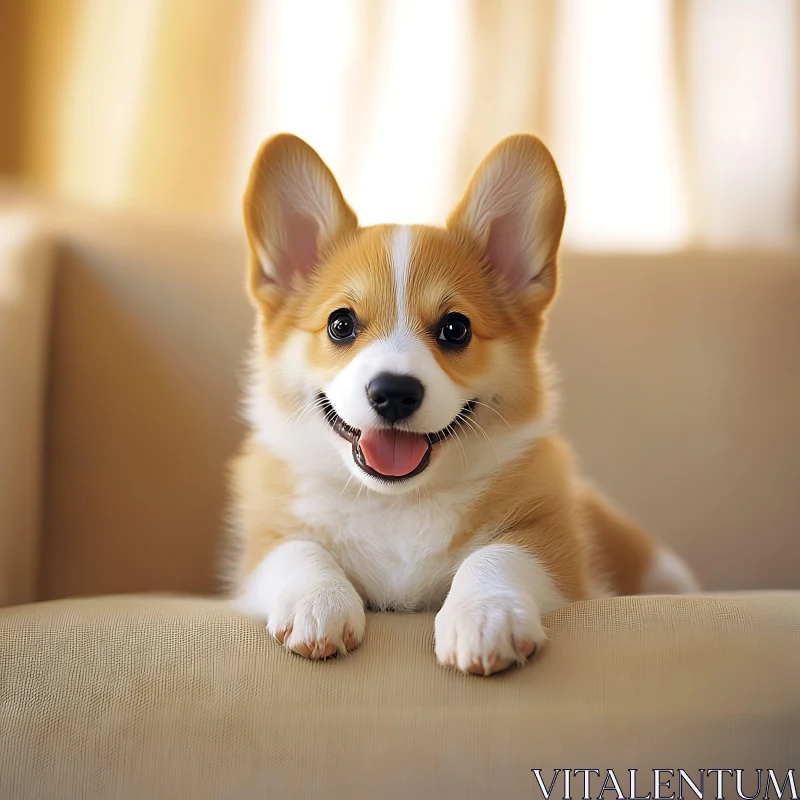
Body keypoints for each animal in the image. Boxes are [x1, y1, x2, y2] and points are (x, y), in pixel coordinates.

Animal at [225, 133, 692, 676]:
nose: (394, 392)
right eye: (340, 324)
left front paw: (485, 618)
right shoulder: (261, 548)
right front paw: (317, 603)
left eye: (455, 329)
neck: (399, 503)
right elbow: (297, 549)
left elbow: (499, 554)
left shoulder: (553, 546)